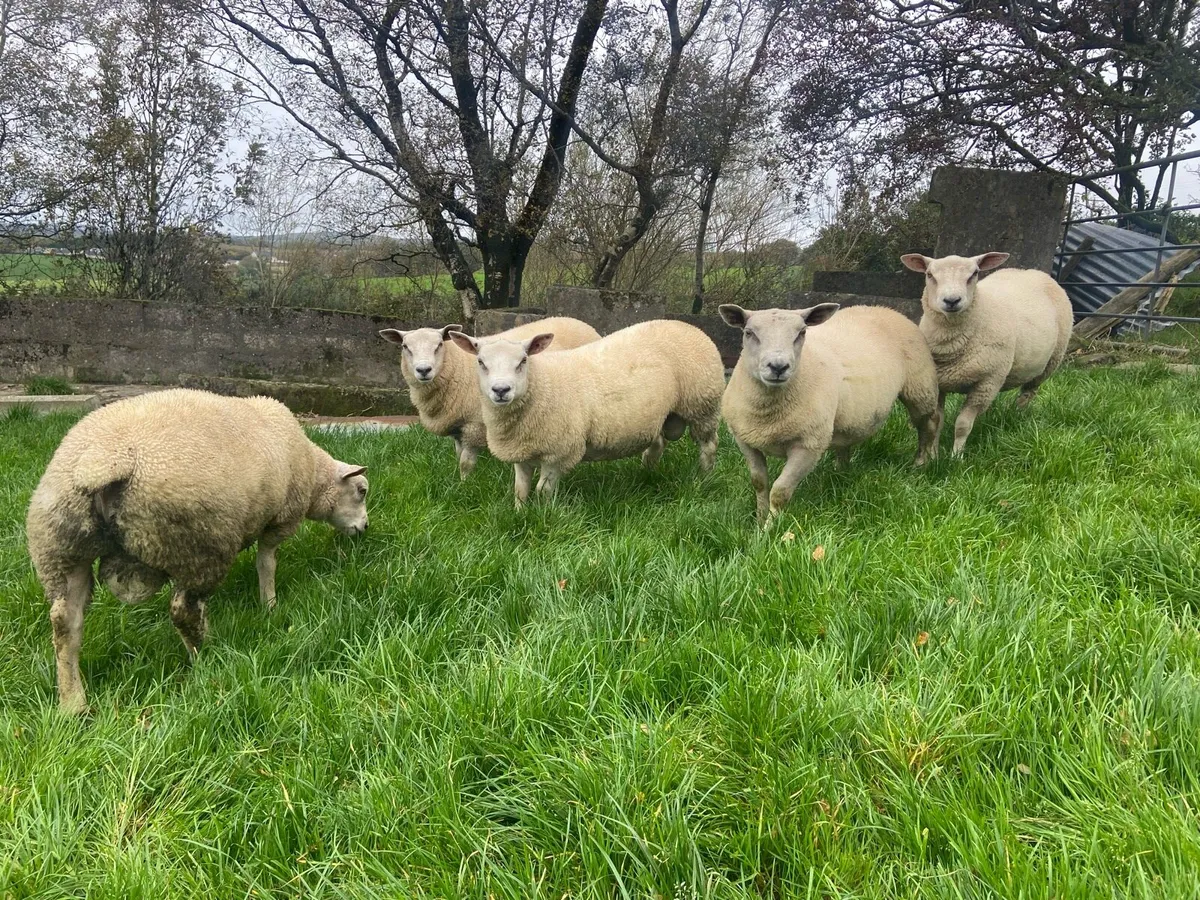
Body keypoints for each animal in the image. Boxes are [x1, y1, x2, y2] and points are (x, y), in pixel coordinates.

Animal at [25, 388, 369, 714]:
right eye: (362, 490)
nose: (365, 528)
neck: (313, 474)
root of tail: (100, 462)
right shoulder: (280, 520)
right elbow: (267, 564)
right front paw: (269, 604)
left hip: (59, 549)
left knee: (65, 624)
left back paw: (73, 703)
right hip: (198, 544)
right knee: (183, 610)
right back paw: (207, 654)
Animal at [379, 317, 601, 480]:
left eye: (439, 344)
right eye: (405, 347)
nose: (424, 370)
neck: (457, 366)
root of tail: (581, 322)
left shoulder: (474, 427)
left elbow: (465, 463)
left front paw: (465, 485)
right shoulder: (459, 428)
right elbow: (458, 456)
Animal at [447, 319, 725, 506]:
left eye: (523, 361)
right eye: (481, 362)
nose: (501, 390)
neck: (543, 384)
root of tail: (690, 326)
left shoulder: (559, 452)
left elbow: (544, 491)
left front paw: (543, 515)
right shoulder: (522, 450)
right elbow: (520, 490)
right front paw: (520, 513)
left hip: (703, 406)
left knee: (709, 446)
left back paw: (704, 478)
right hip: (663, 414)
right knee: (657, 444)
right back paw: (648, 472)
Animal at [719, 303, 941, 527]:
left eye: (802, 332)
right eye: (749, 333)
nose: (778, 367)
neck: (768, 416)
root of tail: (882, 308)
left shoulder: (809, 446)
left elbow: (780, 492)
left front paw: (770, 529)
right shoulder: (745, 441)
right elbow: (759, 483)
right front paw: (758, 520)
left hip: (920, 386)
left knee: (929, 423)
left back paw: (924, 463)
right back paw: (841, 474)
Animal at [900, 252, 1073, 456]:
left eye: (974, 273)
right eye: (929, 274)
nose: (952, 301)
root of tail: (1032, 272)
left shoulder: (986, 382)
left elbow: (963, 425)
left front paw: (956, 456)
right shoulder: (938, 383)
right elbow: (937, 422)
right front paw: (933, 454)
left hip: (1049, 363)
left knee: (1028, 393)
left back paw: (1018, 415)